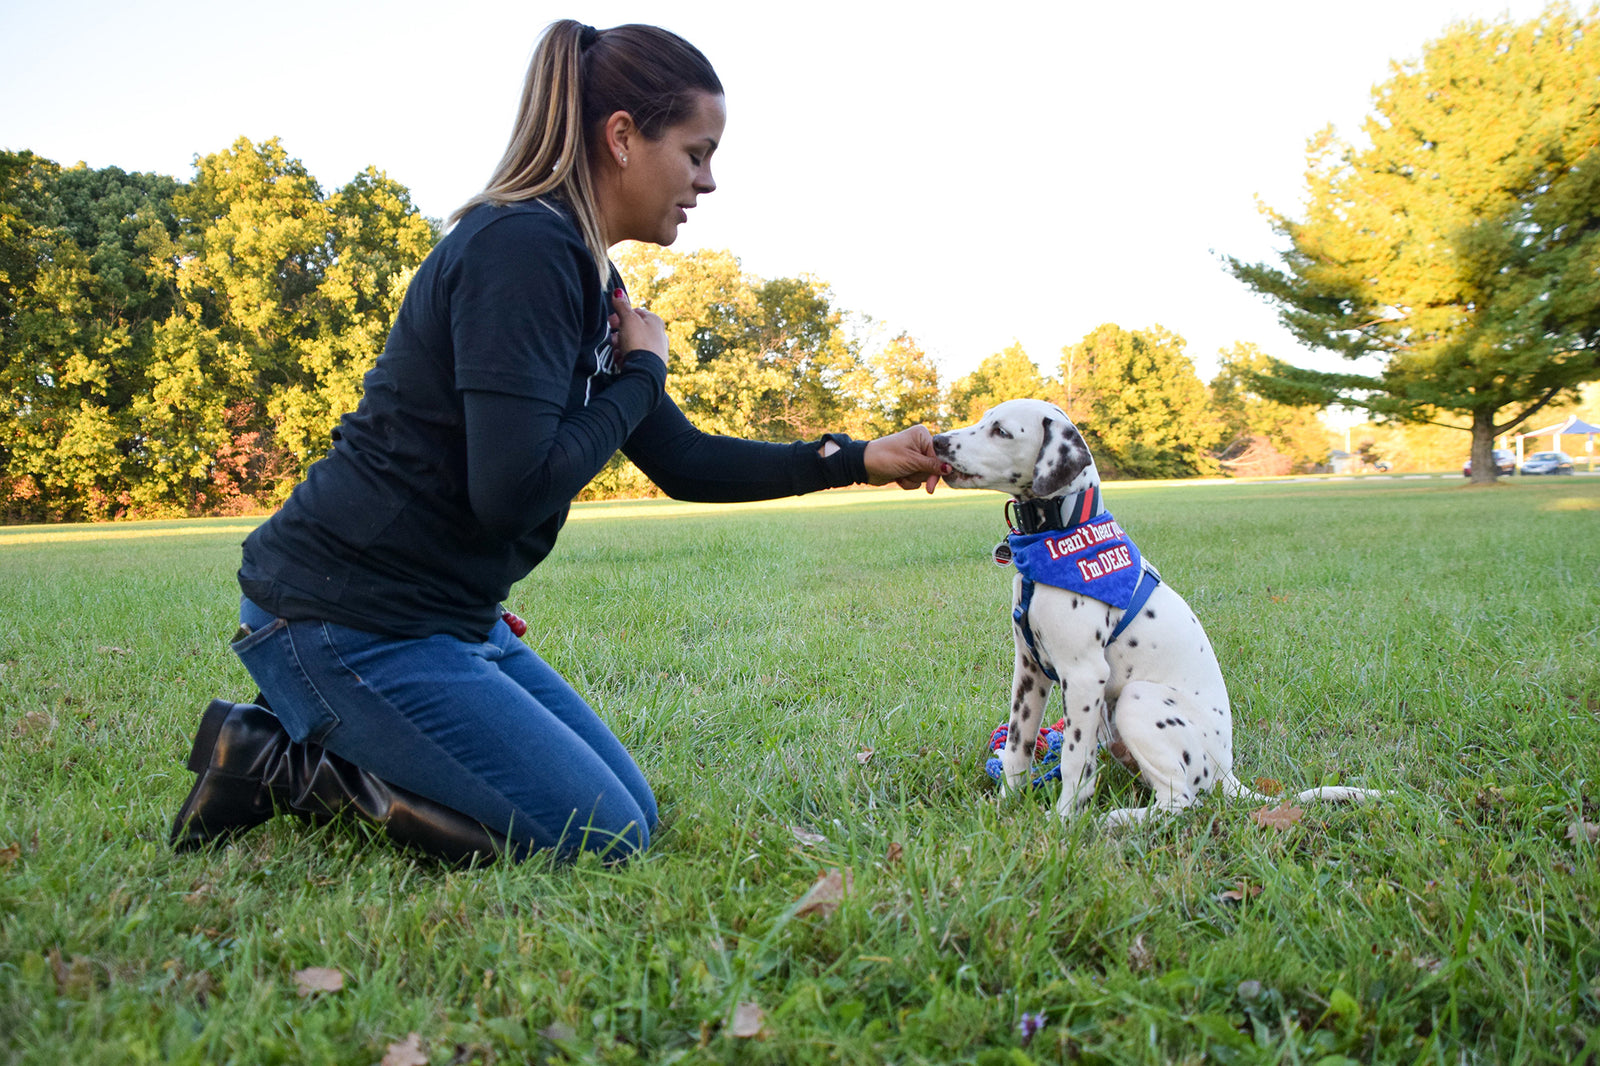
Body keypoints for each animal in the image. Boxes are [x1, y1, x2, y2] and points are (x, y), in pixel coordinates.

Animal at [934, 398, 1382, 819]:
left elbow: (1075, 760)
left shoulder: (1084, 676)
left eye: (1001, 431)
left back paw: (1115, 820)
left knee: (1179, 801)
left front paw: (1062, 822)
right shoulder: (1029, 670)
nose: (937, 440)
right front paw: (1004, 806)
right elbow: (1017, 748)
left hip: (1136, 700)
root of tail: (1226, 772)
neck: (1063, 529)